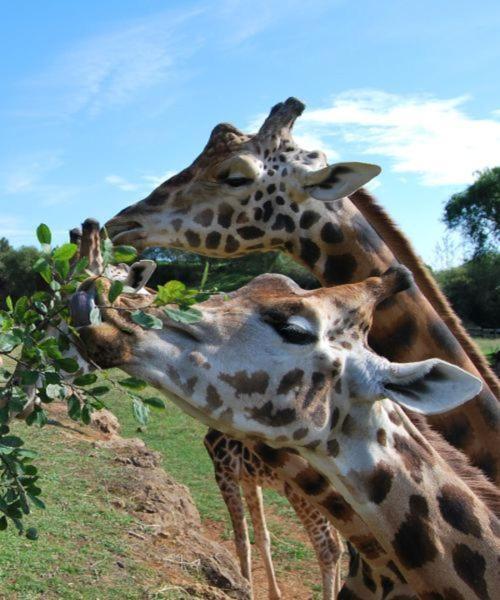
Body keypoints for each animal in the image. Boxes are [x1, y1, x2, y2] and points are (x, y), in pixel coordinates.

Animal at [71, 264, 500, 600]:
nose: (95, 297)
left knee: (327, 546)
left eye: (294, 329)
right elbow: (261, 534)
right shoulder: (246, 477)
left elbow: (244, 536)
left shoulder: (226, 471)